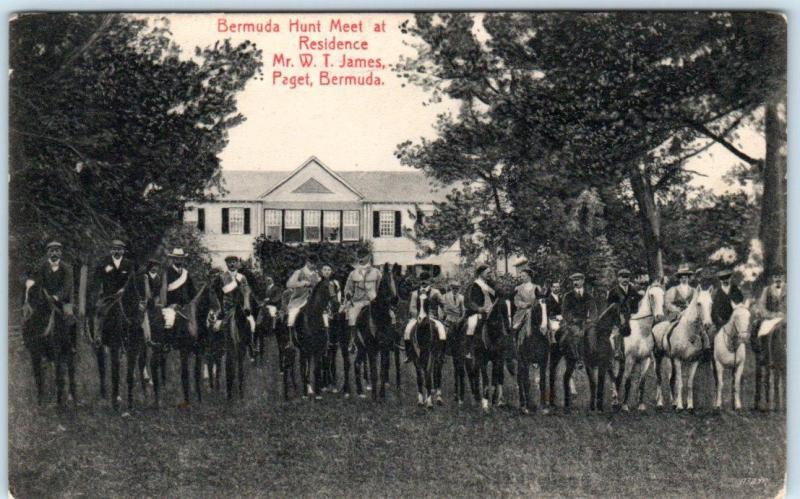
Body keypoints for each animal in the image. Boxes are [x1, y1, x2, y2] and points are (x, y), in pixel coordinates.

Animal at [354, 264, 396, 400]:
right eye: (385, 282)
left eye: (396, 280)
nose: (395, 300)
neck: (380, 317)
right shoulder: (371, 348)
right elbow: (374, 373)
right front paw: (374, 396)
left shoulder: (384, 348)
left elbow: (382, 371)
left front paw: (381, 395)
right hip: (361, 347)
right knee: (357, 364)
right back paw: (360, 391)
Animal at [608, 284, 664, 412]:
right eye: (651, 295)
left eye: (663, 294)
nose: (659, 316)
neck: (641, 332)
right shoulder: (630, 359)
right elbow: (628, 382)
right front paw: (624, 406)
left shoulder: (645, 359)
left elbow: (642, 382)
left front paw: (641, 405)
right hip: (614, 360)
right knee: (613, 377)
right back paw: (614, 400)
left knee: (617, 378)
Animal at [652, 284, 716, 412]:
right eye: (699, 303)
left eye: (711, 303)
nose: (707, 324)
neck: (689, 333)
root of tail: (656, 326)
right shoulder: (678, 360)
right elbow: (680, 383)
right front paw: (681, 406)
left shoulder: (694, 361)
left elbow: (689, 383)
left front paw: (690, 406)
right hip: (658, 357)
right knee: (659, 378)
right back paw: (660, 403)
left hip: (670, 360)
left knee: (671, 379)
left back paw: (673, 402)